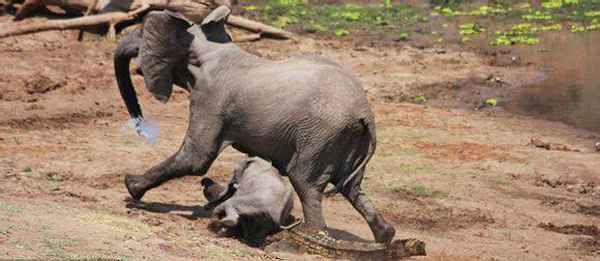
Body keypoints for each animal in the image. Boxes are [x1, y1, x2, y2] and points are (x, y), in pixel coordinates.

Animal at [113, 6, 396, 246]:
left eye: (141, 33)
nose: (140, 123)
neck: (209, 47)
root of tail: (365, 112)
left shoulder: (211, 98)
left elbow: (196, 158)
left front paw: (131, 188)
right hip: (347, 139)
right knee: (352, 187)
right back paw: (385, 237)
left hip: (321, 135)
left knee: (305, 181)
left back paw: (311, 237)